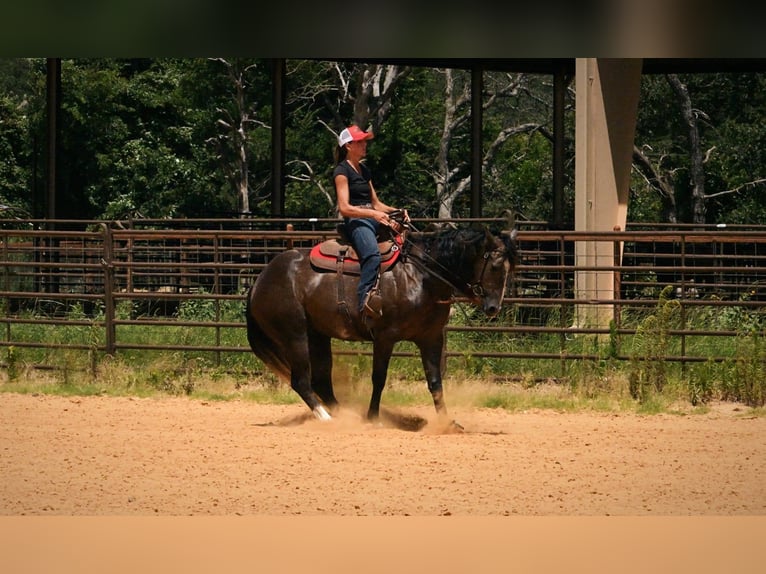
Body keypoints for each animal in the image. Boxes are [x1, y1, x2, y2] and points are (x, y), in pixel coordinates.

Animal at [245, 220, 518, 428]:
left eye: (510, 269)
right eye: (495, 266)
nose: (493, 308)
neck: (420, 276)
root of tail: (260, 280)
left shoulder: (431, 338)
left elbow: (435, 382)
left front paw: (447, 423)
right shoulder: (385, 337)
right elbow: (379, 377)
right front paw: (373, 417)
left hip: (318, 336)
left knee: (321, 380)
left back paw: (345, 415)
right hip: (295, 336)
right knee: (301, 380)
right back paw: (328, 419)